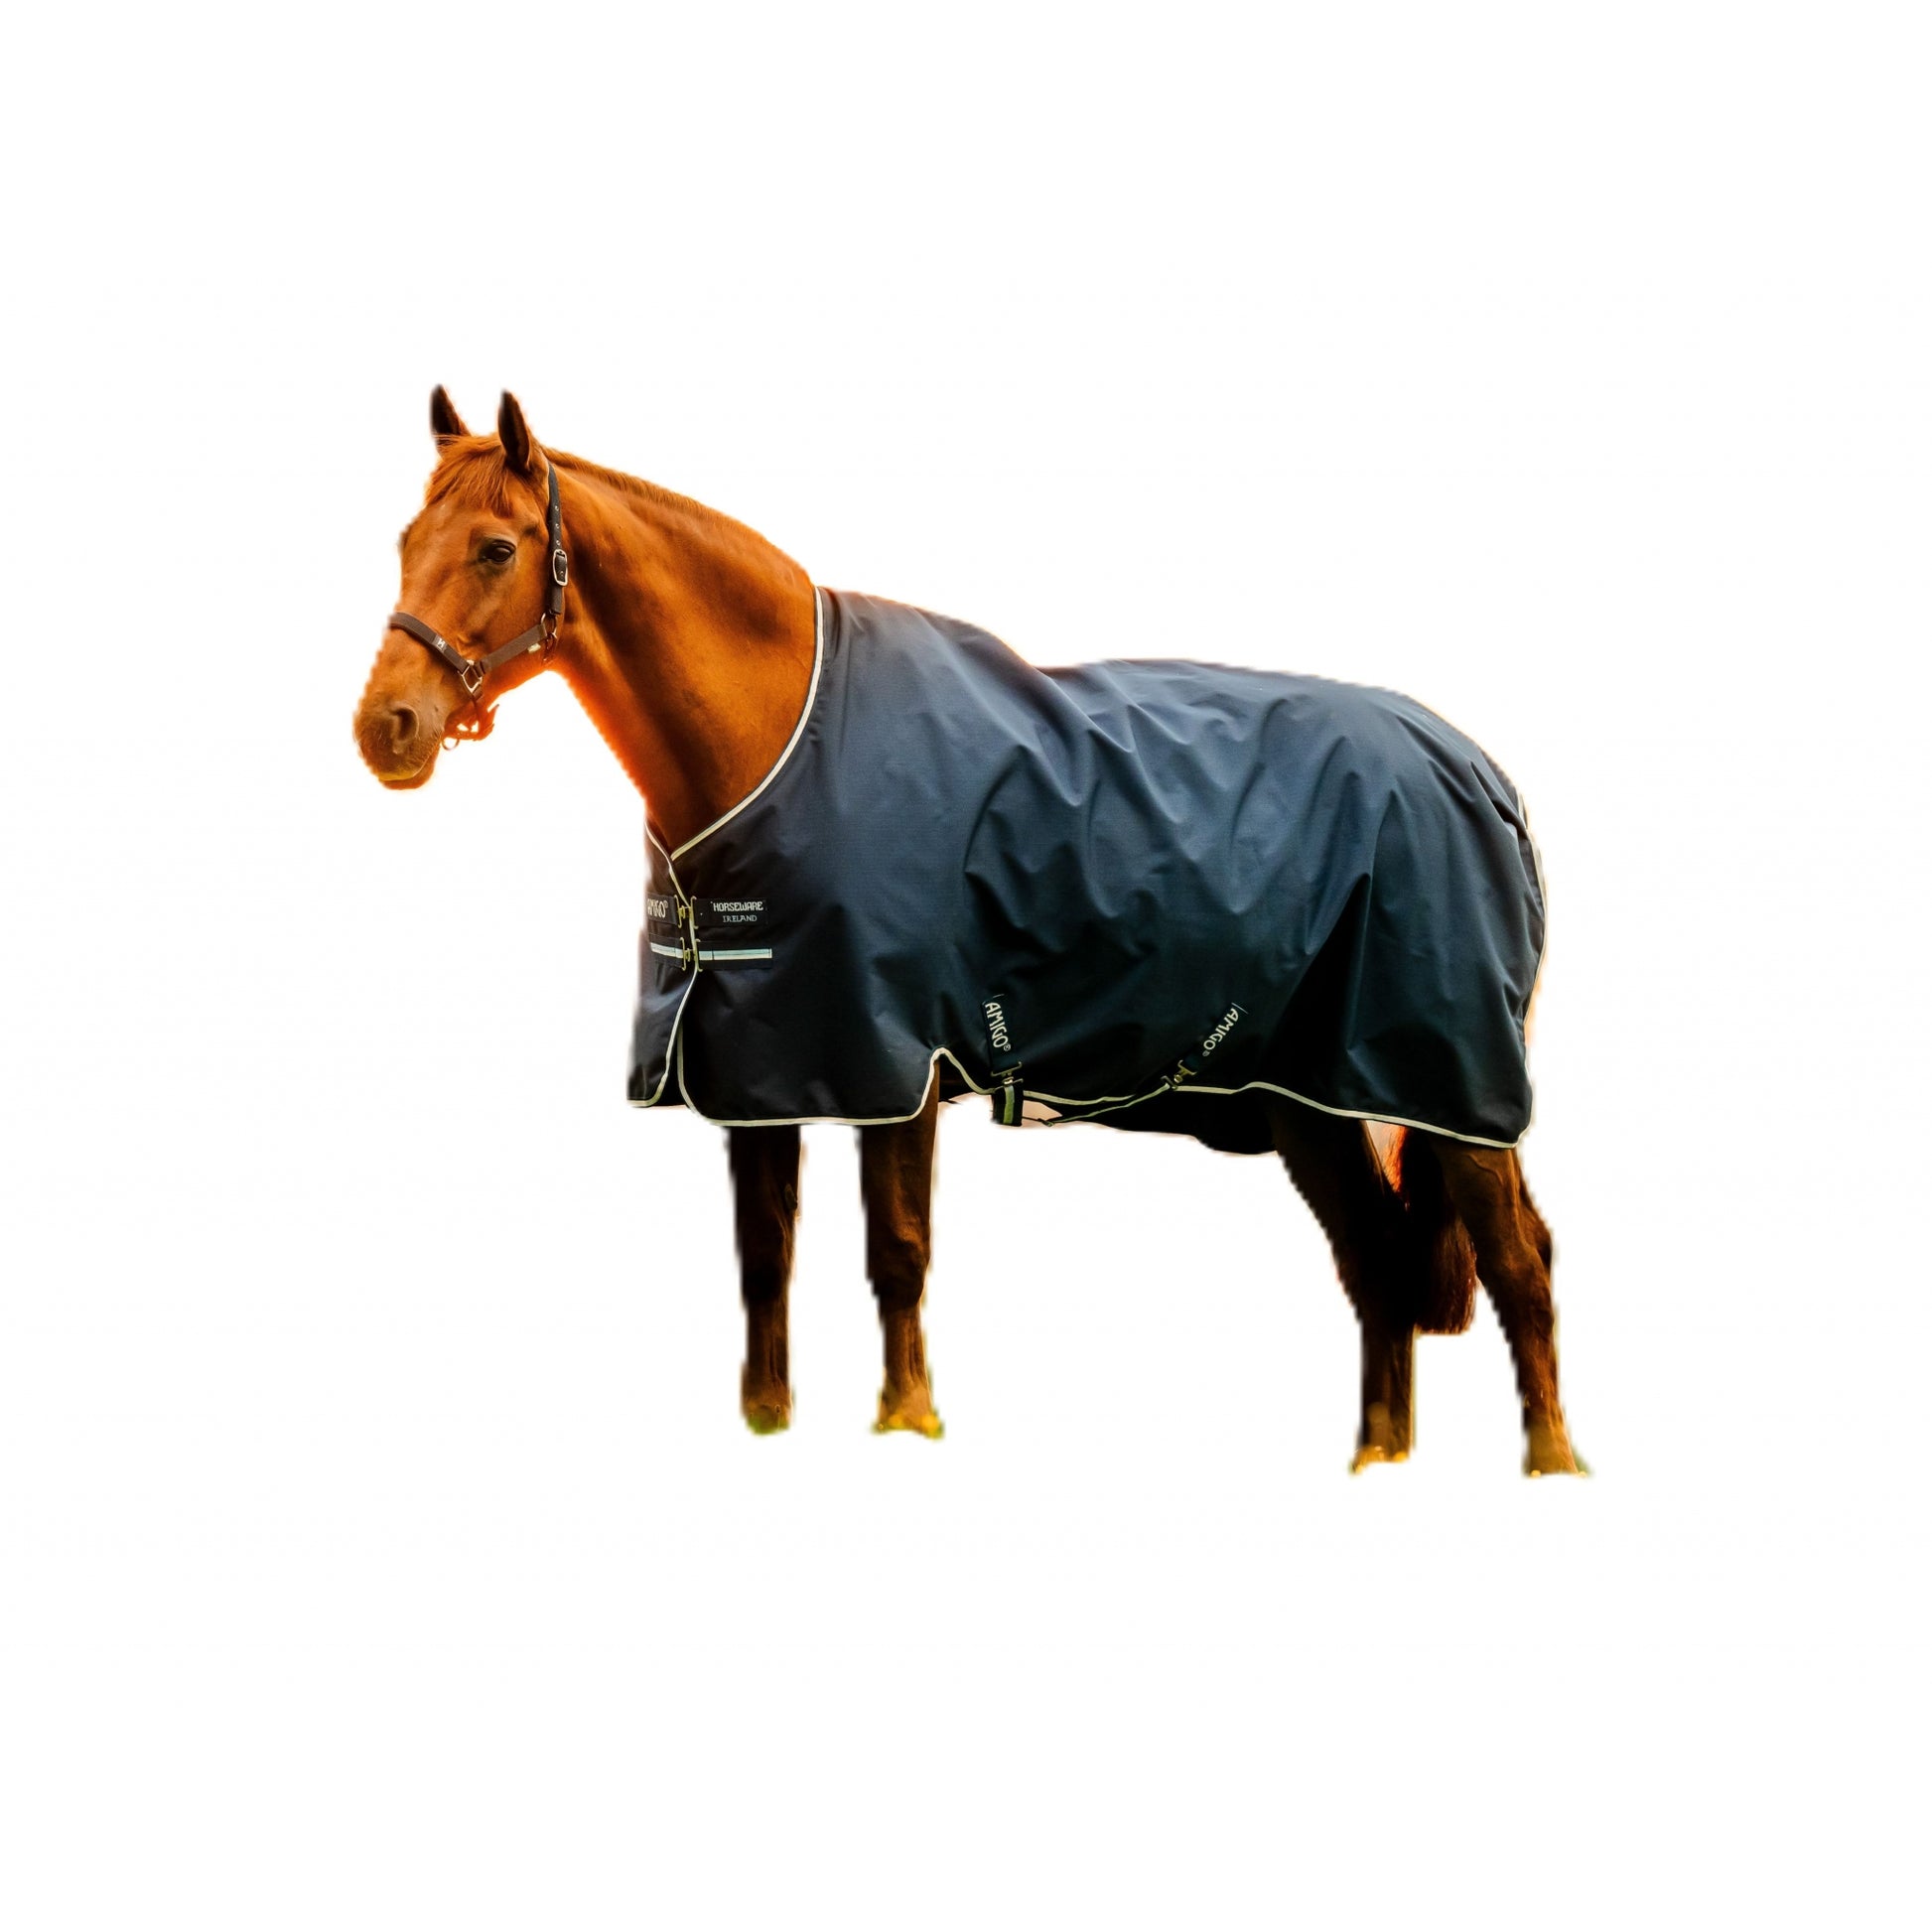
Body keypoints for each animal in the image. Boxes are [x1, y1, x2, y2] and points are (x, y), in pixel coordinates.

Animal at [353, 389, 1583, 1476]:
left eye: (497, 547)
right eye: (408, 537)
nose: (386, 727)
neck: (780, 743)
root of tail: (1478, 772)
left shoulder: (893, 1065)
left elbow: (896, 1255)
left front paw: (908, 1425)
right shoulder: (761, 1071)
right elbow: (764, 1263)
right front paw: (767, 1423)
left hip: (1452, 1087)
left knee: (1518, 1266)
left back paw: (1550, 1463)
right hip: (1307, 1100)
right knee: (1376, 1266)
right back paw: (1378, 1461)